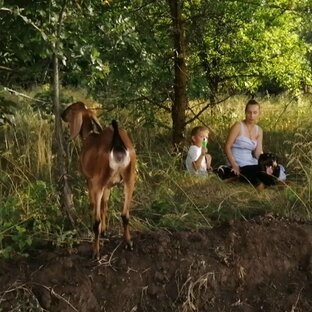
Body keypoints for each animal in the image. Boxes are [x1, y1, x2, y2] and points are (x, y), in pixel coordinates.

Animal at [62, 102, 136, 258]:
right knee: (125, 214)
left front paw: (102, 230)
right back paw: (128, 242)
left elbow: (94, 206)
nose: (62, 114)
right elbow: (105, 204)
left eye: (71, 109)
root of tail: (117, 145)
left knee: (96, 220)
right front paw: (105, 229)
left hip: (98, 185)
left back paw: (95, 251)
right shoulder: (108, 185)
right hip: (130, 179)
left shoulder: (91, 182)